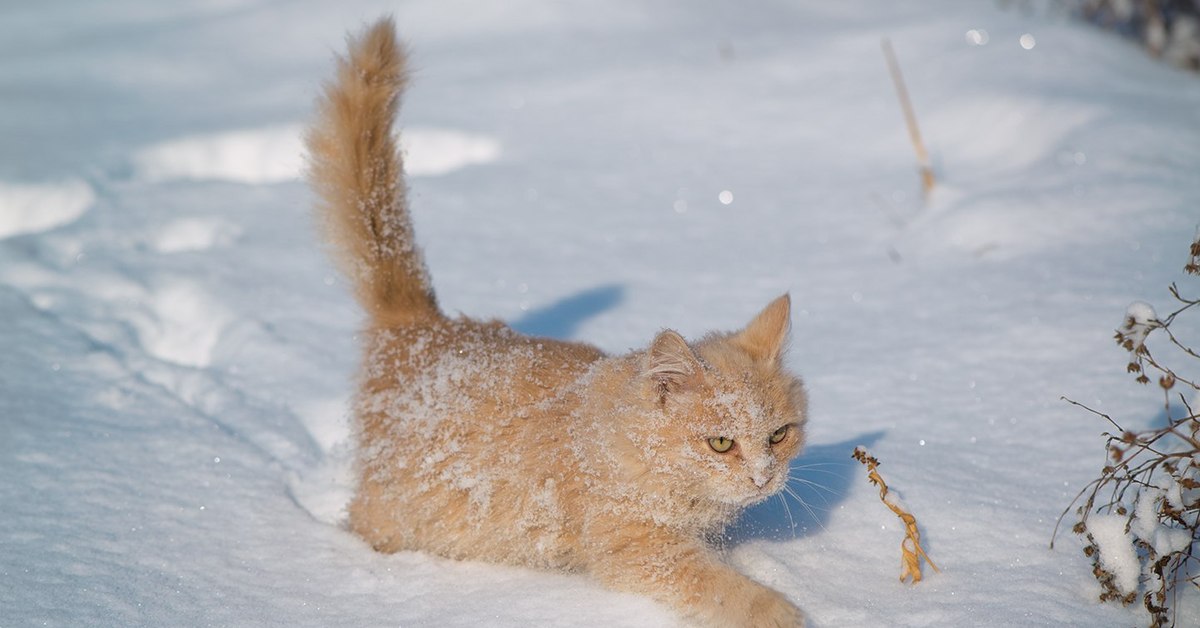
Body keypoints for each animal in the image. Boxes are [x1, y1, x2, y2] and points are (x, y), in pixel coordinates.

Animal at [304, 17, 811, 624]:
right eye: (720, 443)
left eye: (779, 434)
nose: (763, 477)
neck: (622, 435)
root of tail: (424, 324)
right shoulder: (637, 543)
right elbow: (720, 586)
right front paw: (780, 611)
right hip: (396, 508)